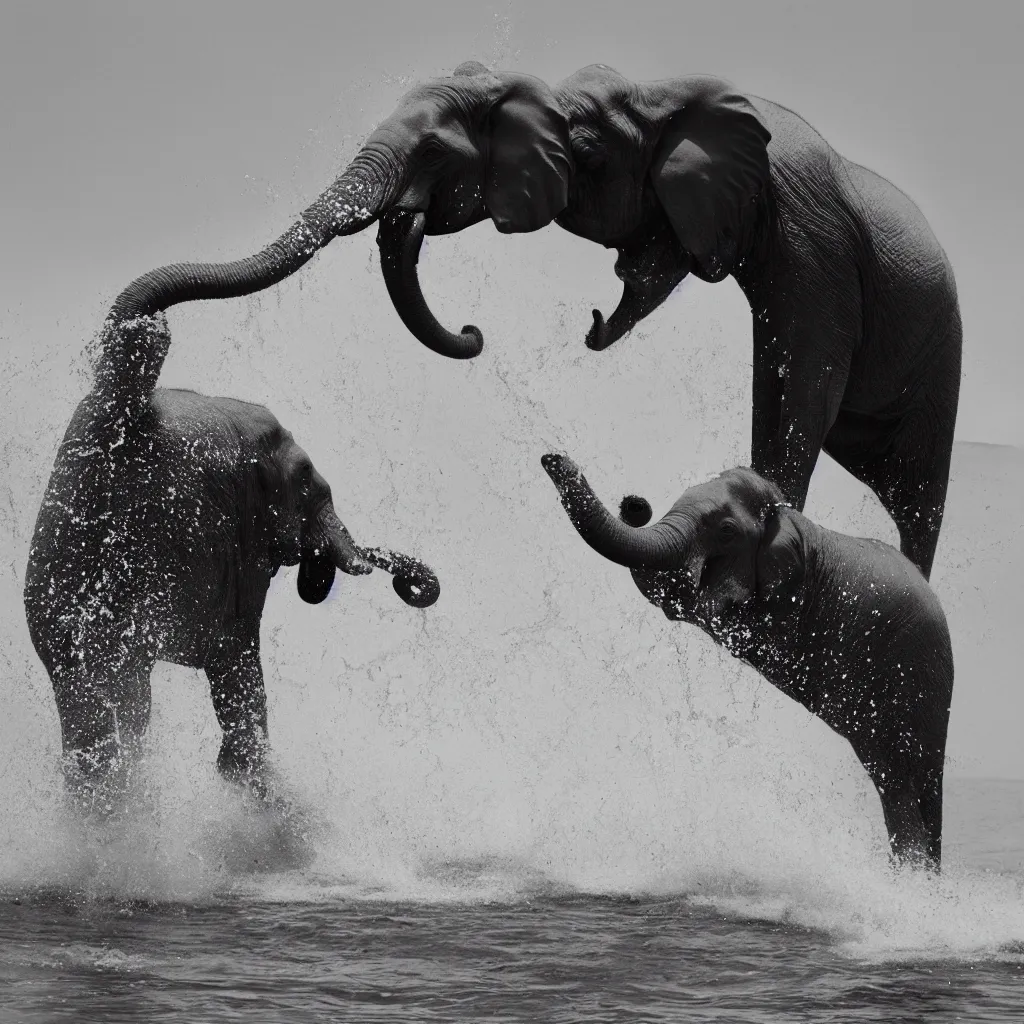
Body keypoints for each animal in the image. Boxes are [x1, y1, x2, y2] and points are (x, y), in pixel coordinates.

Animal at [544, 452, 950, 868]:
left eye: (726, 530)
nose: (553, 458)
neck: (783, 516)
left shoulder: (783, 598)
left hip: (915, 676)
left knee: (897, 770)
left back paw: (911, 870)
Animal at [548, 66, 962, 585]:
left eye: (587, 156)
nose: (591, 324)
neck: (657, 93)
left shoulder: (817, 251)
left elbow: (810, 394)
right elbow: (770, 390)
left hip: (940, 364)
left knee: (917, 496)